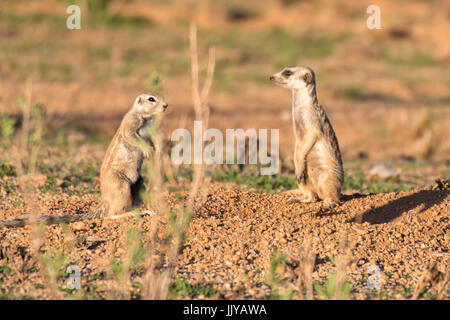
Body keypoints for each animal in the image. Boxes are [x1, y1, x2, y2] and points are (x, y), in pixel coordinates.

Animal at [0, 92, 168, 228]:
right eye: (151, 99)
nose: (166, 105)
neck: (145, 117)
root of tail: (105, 200)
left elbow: (153, 140)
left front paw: (158, 152)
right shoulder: (131, 123)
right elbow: (132, 137)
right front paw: (148, 151)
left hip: (139, 184)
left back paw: (144, 212)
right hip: (121, 187)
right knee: (111, 215)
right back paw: (129, 214)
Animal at [270, 66, 344, 209]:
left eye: (287, 73)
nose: (271, 77)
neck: (302, 104)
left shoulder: (311, 118)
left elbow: (312, 135)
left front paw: (299, 158)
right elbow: (298, 144)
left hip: (328, 175)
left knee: (331, 192)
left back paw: (329, 202)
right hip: (306, 179)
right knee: (310, 193)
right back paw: (301, 198)